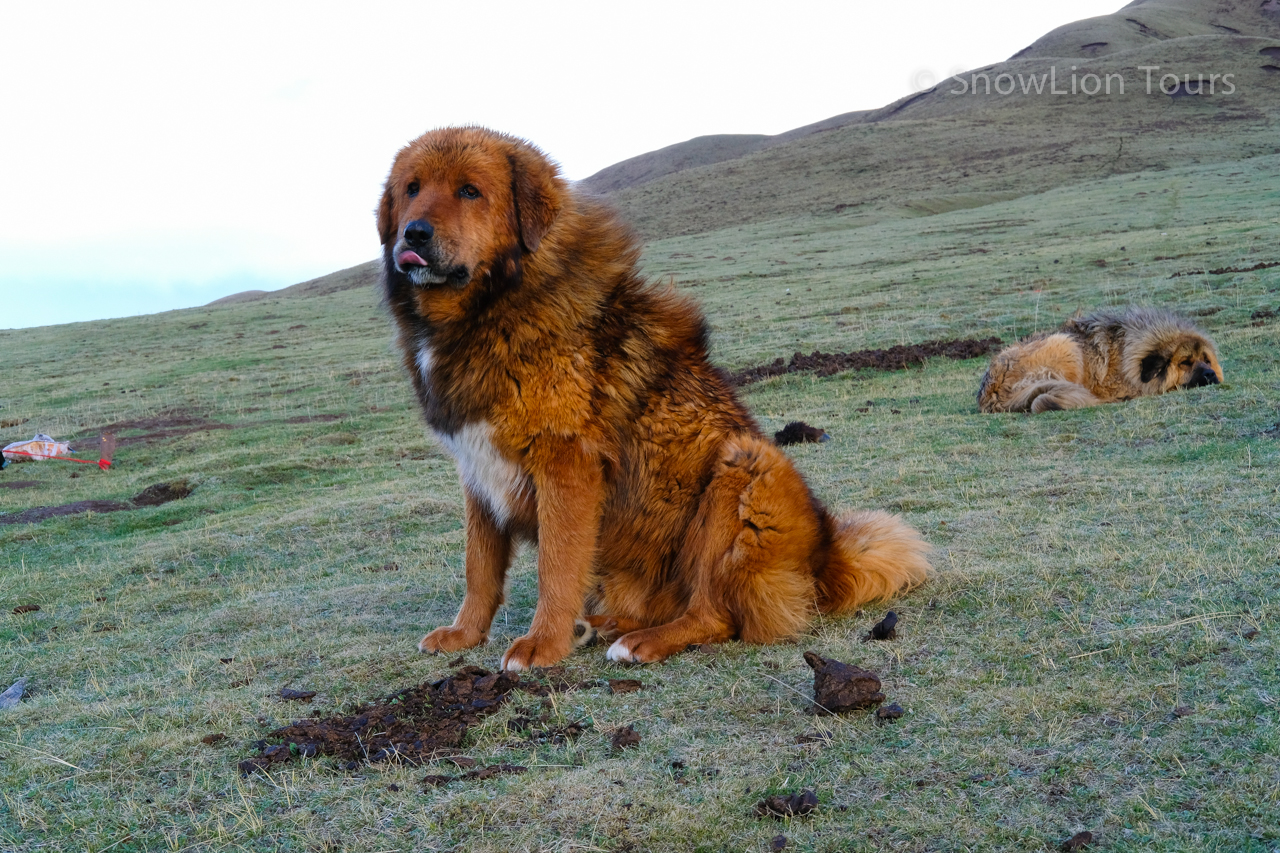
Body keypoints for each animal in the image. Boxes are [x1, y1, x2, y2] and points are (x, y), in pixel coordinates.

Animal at [378, 128, 931, 671]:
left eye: (470, 191)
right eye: (411, 188)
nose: (414, 234)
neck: (493, 305)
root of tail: (827, 561)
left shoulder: (566, 464)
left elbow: (555, 566)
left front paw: (542, 645)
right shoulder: (477, 469)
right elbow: (479, 566)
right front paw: (466, 634)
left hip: (743, 468)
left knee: (714, 614)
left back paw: (641, 642)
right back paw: (602, 626)